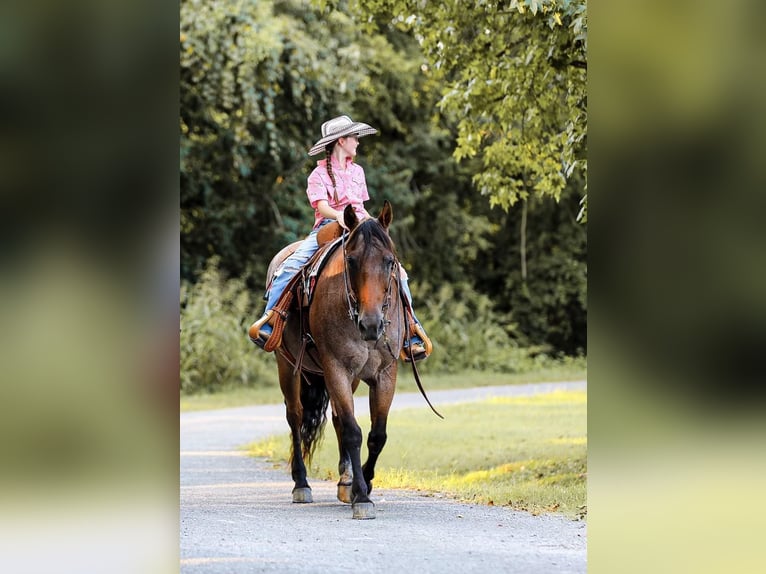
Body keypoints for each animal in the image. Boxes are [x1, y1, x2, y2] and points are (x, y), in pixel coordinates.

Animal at [270, 202, 412, 520]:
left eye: (390, 262)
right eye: (351, 261)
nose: (371, 324)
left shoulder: (385, 373)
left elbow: (376, 434)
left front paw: (362, 484)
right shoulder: (336, 368)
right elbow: (352, 431)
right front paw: (362, 498)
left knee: (334, 419)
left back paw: (345, 480)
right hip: (288, 367)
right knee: (295, 417)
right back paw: (301, 483)